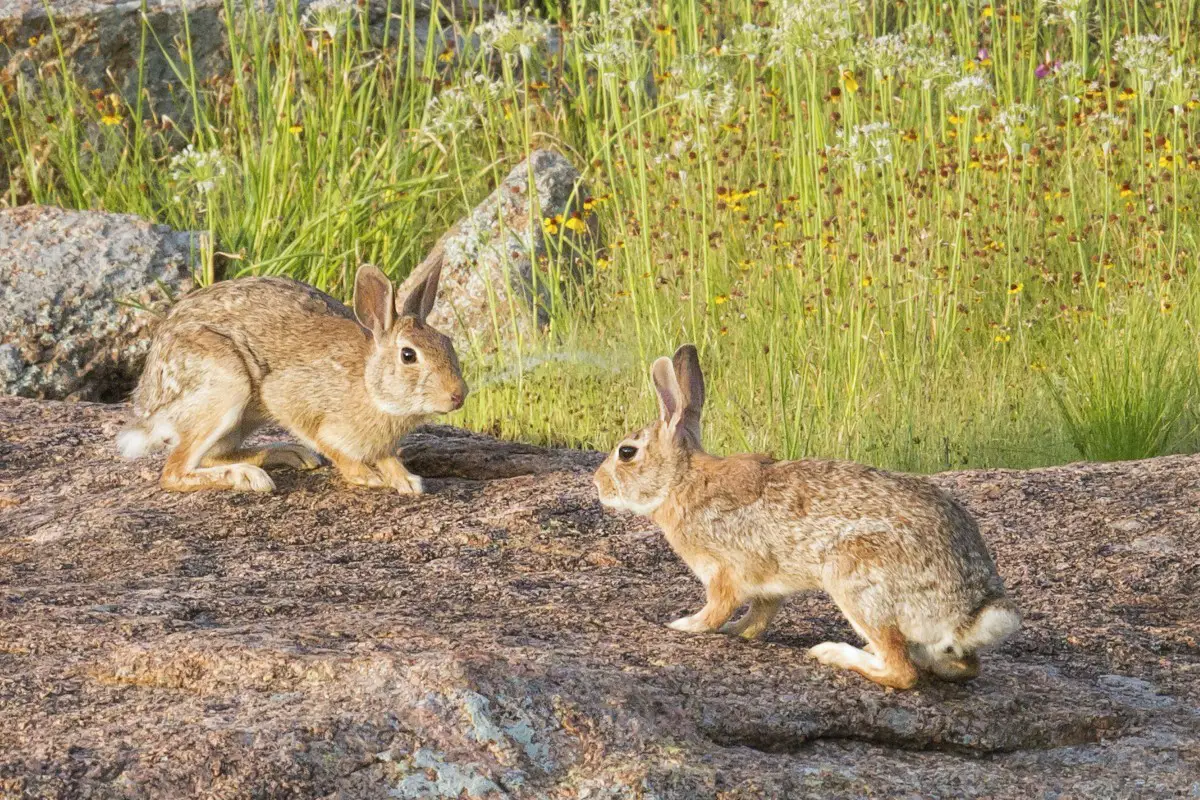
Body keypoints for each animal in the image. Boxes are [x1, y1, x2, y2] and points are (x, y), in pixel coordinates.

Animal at [115, 263, 463, 494]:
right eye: (408, 355)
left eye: (447, 342)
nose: (458, 395)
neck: (369, 381)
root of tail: (149, 407)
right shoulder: (288, 398)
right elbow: (327, 442)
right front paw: (365, 475)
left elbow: (386, 456)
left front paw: (406, 481)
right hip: (226, 388)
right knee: (174, 472)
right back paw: (248, 478)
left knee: (213, 454)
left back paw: (287, 454)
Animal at [592, 345, 1022, 690]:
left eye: (626, 453)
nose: (597, 484)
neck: (681, 480)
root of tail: (971, 613)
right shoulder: (766, 589)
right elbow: (757, 618)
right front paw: (736, 633)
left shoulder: (723, 571)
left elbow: (718, 609)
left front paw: (682, 625)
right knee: (961, 667)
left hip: (854, 578)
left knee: (901, 672)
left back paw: (832, 653)